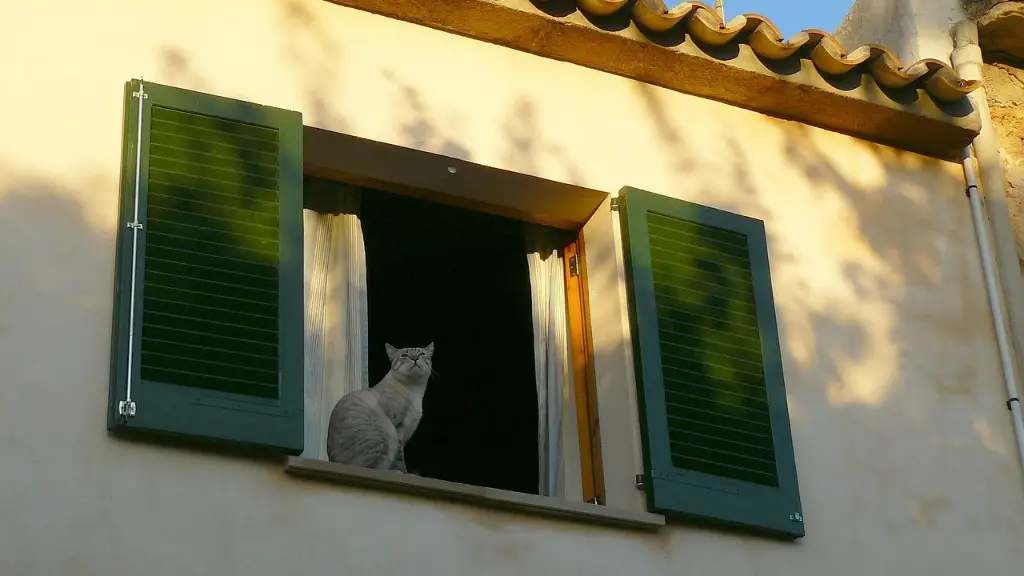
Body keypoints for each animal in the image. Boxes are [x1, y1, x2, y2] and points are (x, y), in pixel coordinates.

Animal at [321, 340, 430, 471]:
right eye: (405, 355)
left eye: (422, 354)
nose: (414, 358)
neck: (414, 391)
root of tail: (334, 461)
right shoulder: (397, 426)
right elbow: (399, 459)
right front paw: (403, 472)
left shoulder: (406, 432)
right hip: (384, 434)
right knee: (370, 467)